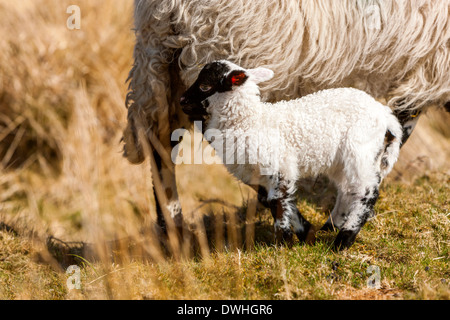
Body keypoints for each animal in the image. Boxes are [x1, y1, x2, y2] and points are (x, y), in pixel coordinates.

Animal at [179, 60, 404, 250]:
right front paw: (306, 233)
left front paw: (284, 242)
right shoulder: (259, 176)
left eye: (205, 86)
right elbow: (272, 201)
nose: (181, 100)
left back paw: (343, 240)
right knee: (347, 189)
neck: (249, 121)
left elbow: (278, 202)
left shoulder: (280, 166)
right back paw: (331, 225)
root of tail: (383, 112)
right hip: (342, 159)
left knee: (367, 191)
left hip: (359, 149)